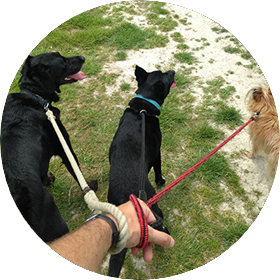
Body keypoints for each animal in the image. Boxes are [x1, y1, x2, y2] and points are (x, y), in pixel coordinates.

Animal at [1, 52, 97, 243]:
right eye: (63, 62)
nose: (83, 58)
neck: (34, 95)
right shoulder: (64, 147)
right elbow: (78, 173)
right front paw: (90, 187)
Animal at [107, 64, 175, 276]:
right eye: (167, 77)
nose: (173, 70)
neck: (142, 109)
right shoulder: (158, 151)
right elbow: (158, 169)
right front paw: (161, 180)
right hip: (154, 207)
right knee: (158, 227)